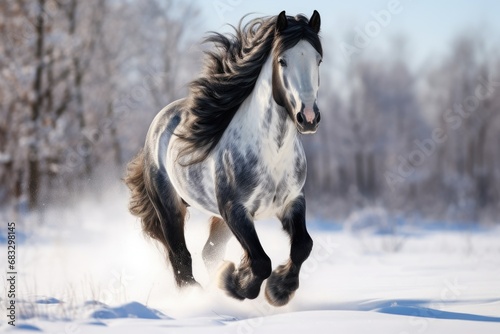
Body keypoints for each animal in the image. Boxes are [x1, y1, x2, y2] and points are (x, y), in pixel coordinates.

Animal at [123, 10, 322, 306]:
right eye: (282, 60)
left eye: (318, 59)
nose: (308, 117)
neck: (271, 155)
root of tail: (160, 121)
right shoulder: (235, 210)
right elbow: (260, 261)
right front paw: (234, 284)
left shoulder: (292, 202)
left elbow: (302, 246)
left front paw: (279, 290)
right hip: (171, 208)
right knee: (180, 257)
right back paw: (196, 297)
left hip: (219, 218)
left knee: (207, 252)